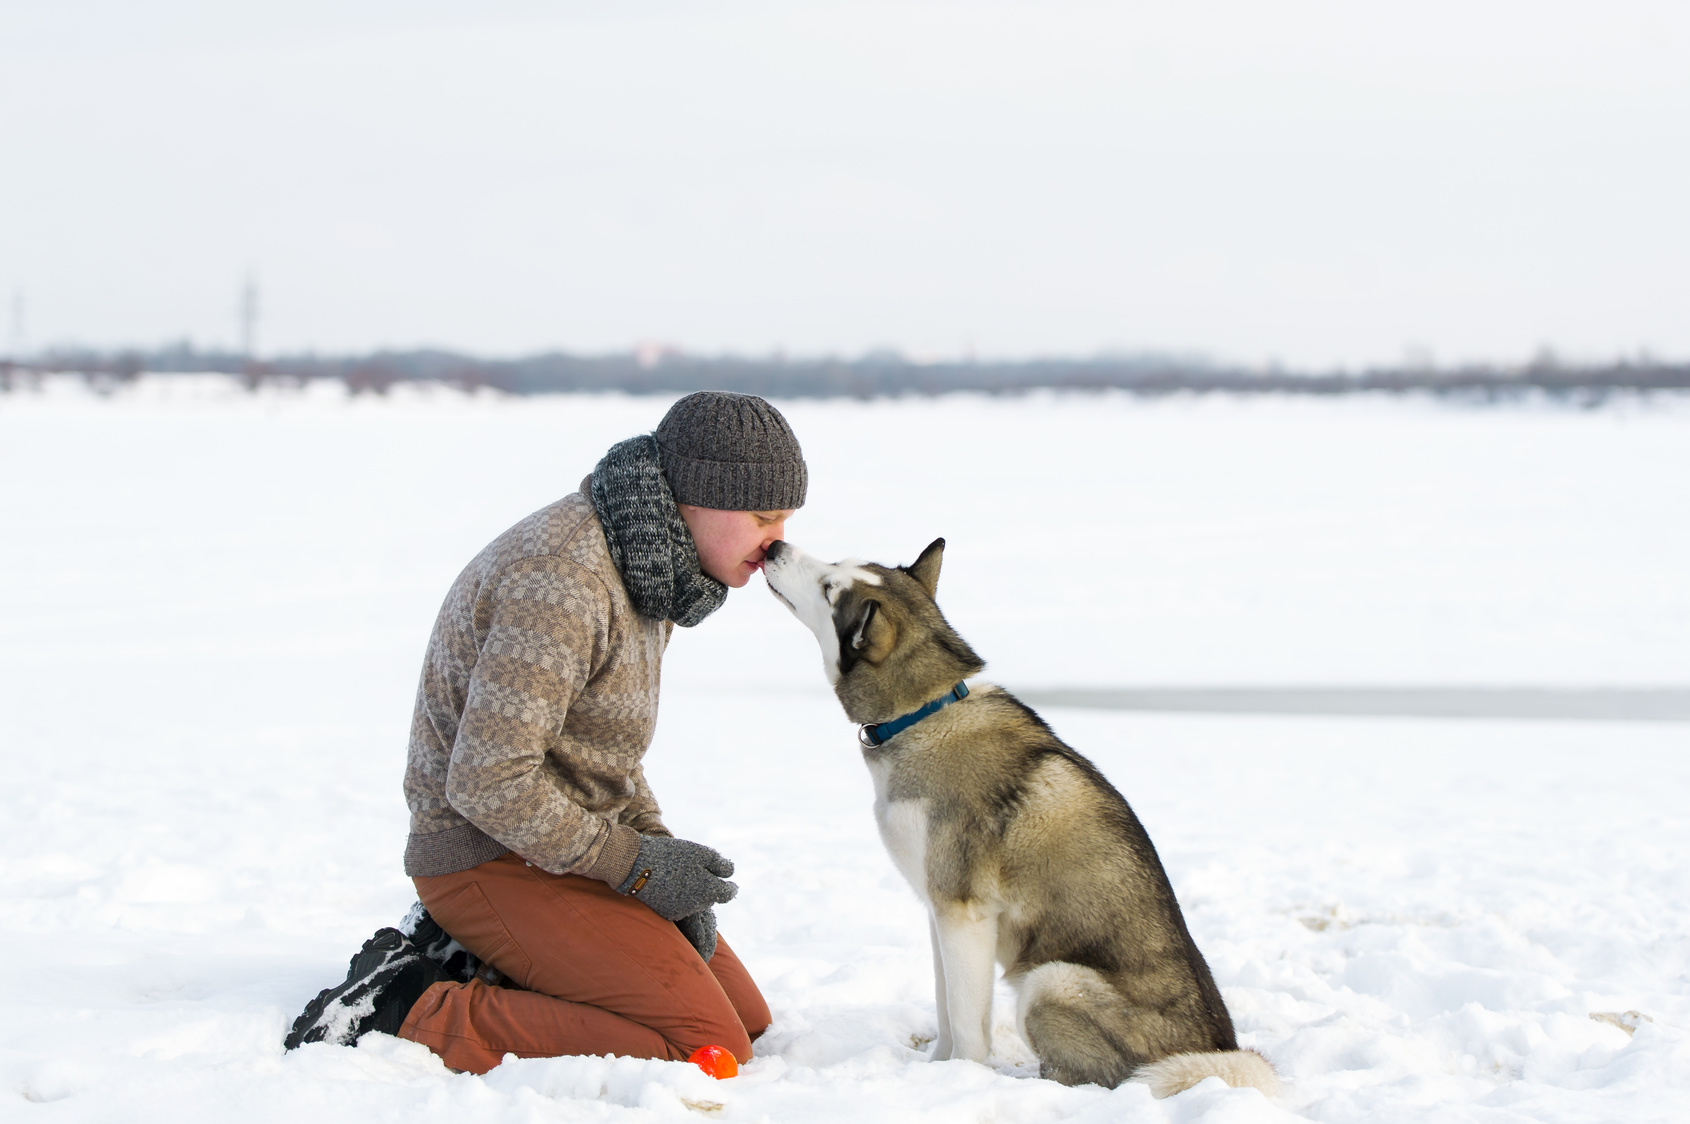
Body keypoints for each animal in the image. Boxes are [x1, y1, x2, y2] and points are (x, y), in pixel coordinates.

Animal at [760, 540, 1270, 1088]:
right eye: (837, 565)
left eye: (828, 587)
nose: (775, 546)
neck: (922, 713)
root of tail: (1218, 1049)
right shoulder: (938, 910)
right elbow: (946, 1008)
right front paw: (936, 1071)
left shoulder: (963, 911)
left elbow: (967, 1023)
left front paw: (960, 1077)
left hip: (1052, 980)